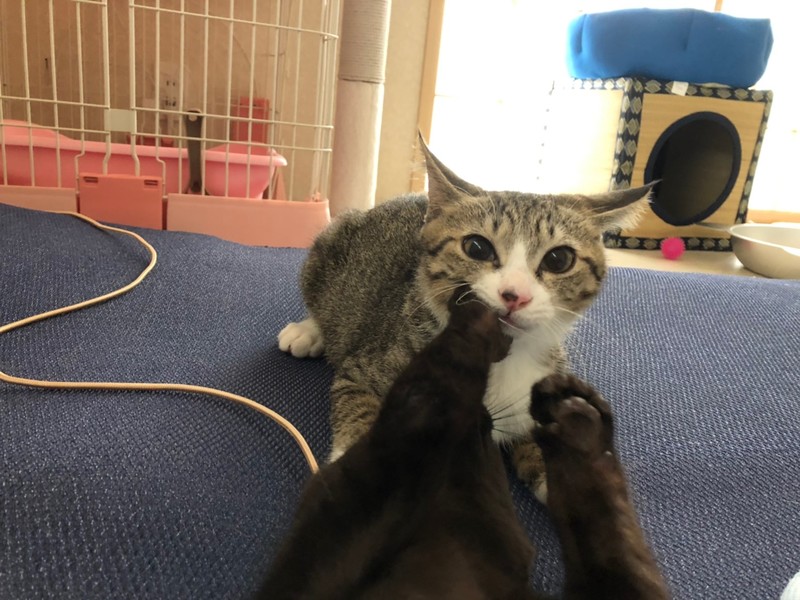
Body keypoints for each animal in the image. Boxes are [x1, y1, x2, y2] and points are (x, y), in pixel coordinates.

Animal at [278, 136, 652, 499]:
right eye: (477, 247)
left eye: (559, 259)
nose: (515, 294)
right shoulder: (363, 370)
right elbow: (360, 405)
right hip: (329, 244)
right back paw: (308, 332)